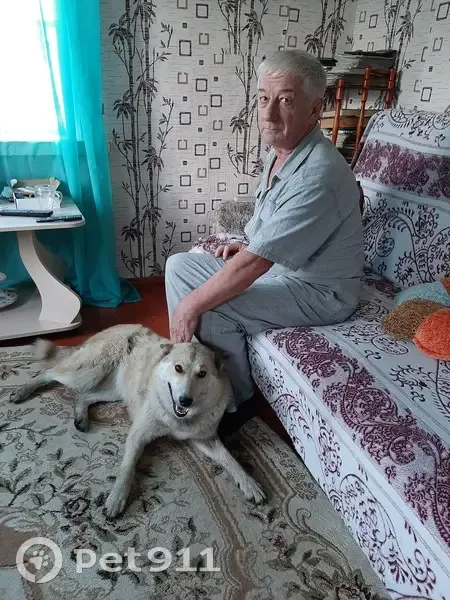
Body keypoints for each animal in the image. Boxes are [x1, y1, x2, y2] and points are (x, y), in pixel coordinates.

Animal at [9, 324, 266, 517]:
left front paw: (248, 482)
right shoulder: (138, 434)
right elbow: (128, 467)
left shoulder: (205, 439)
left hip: (114, 390)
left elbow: (229, 459)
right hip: (86, 373)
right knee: (49, 372)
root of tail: (114, 327)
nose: (185, 401)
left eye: (202, 374)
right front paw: (118, 496)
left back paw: (80, 414)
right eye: (178, 368)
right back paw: (23, 390)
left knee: (85, 396)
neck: (174, 416)